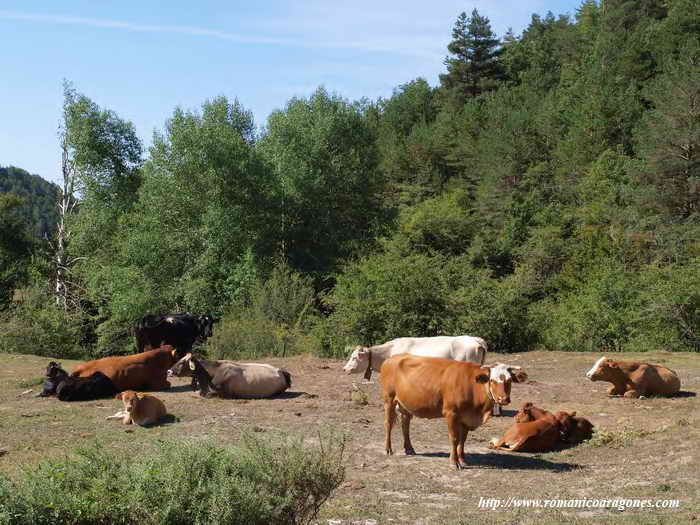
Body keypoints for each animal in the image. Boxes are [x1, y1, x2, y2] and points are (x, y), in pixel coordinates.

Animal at [380, 354, 528, 468]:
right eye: (492, 380)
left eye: (509, 380)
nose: (503, 399)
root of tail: (391, 358)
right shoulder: (451, 414)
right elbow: (454, 438)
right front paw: (454, 462)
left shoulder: (466, 417)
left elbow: (463, 440)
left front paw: (462, 459)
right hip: (389, 399)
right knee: (388, 424)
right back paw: (388, 449)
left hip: (405, 404)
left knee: (405, 424)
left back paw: (409, 448)